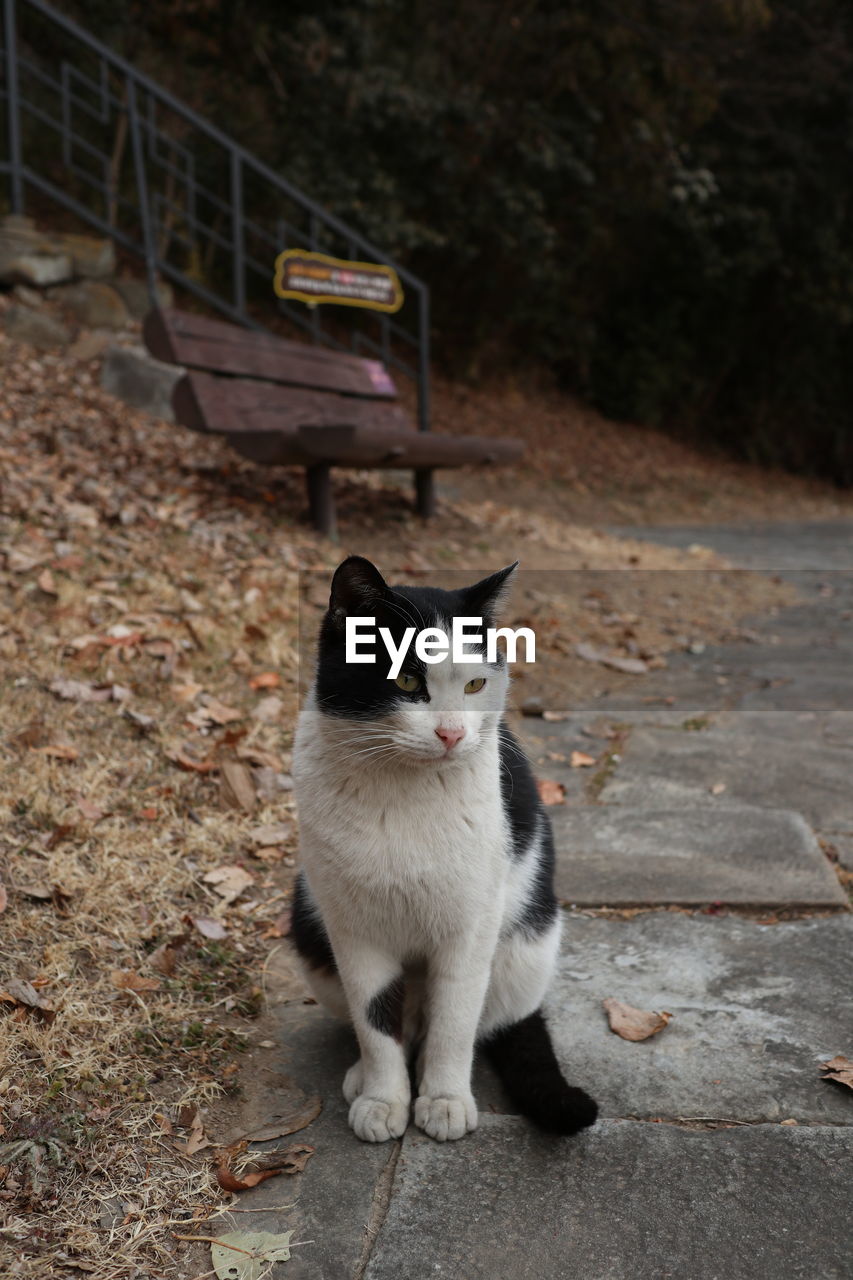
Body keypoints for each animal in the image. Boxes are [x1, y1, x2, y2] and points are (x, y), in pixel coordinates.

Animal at [289, 555, 594, 1146]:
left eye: (475, 683)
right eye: (407, 680)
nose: (452, 733)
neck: (401, 792)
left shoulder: (470, 925)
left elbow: (454, 1021)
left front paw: (446, 1098)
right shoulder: (353, 928)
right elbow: (376, 1020)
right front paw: (384, 1098)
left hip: (526, 944)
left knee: (474, 1022)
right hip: (308, 922)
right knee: (399, 1024)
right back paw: (363, 1078)